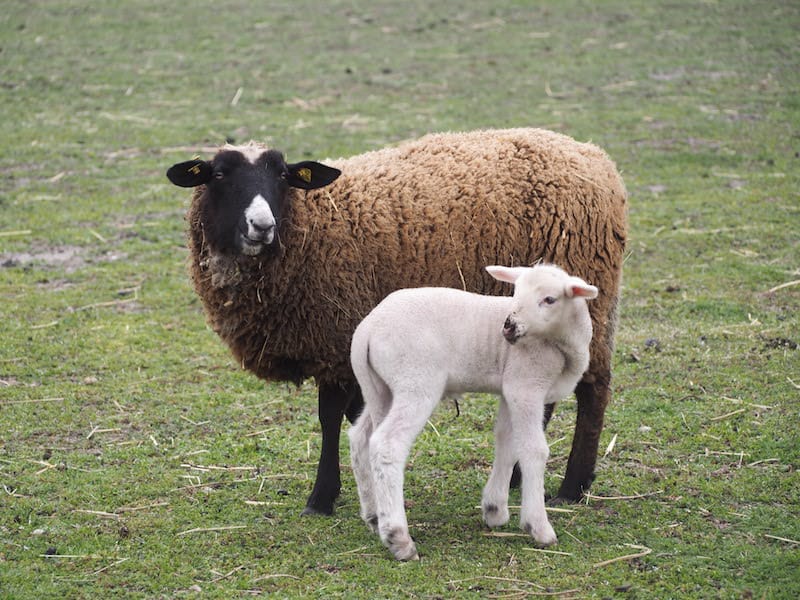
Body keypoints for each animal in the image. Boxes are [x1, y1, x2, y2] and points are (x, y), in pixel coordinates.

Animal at [166, 127, 628, 516]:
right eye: (219, 175)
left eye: (282, 176)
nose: (262, 226)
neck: (310, 225)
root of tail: (594, 157)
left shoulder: (339, 335)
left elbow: (331, 418)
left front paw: (322, 497)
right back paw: (518, 477)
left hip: (582, 304)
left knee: (594, 389)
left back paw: (573, 487)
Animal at [346, 264, 596, 560]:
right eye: (516, 291)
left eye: (549, 299)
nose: (508, 327)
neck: (562, 342)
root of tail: (367, 330)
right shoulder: (525, 385)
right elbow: (534, 450)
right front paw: (539, 528)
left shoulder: (509, 387)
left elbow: (506, 443)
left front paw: (495, 510)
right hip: (416, 381)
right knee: (387, 444)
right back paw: (398, 538)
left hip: (378, 387)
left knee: (360, 438)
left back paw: (374, 515)